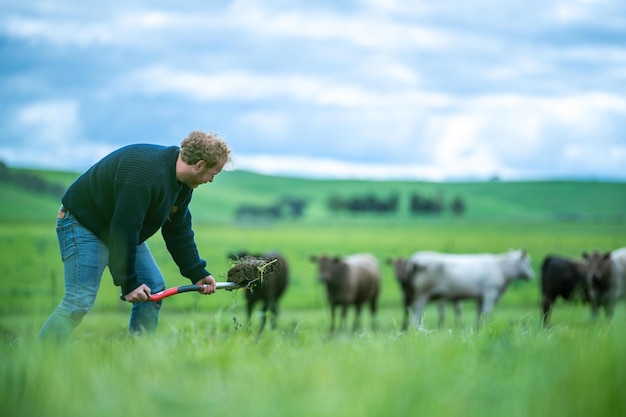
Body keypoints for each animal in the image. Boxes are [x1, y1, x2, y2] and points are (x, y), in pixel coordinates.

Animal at [404, 249, 532, 330]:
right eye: (528, 263)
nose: (532, 276)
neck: (501, 269)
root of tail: (415, 260)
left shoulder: (480, 297)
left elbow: (479, 313)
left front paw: (479, 327)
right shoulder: (490, 292)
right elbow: (487, 311)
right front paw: (486, 326)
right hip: (422, 294)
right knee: (416, 311)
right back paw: (415, 328)